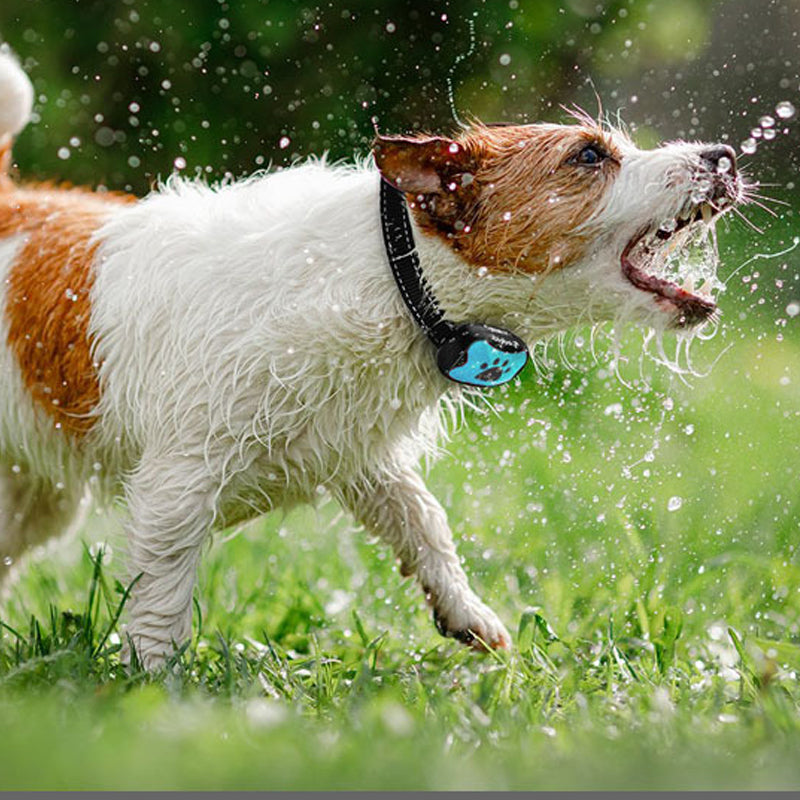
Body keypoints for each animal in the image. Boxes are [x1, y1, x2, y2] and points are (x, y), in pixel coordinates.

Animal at [0, 50, 744, 668]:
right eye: (589, 155)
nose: (725, 155)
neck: (393, 271)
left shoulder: (358, 454)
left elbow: (423, 520)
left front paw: (465, 611)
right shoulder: (179, 481)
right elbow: (162, 592)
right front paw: (152, 682)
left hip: (37, 503)